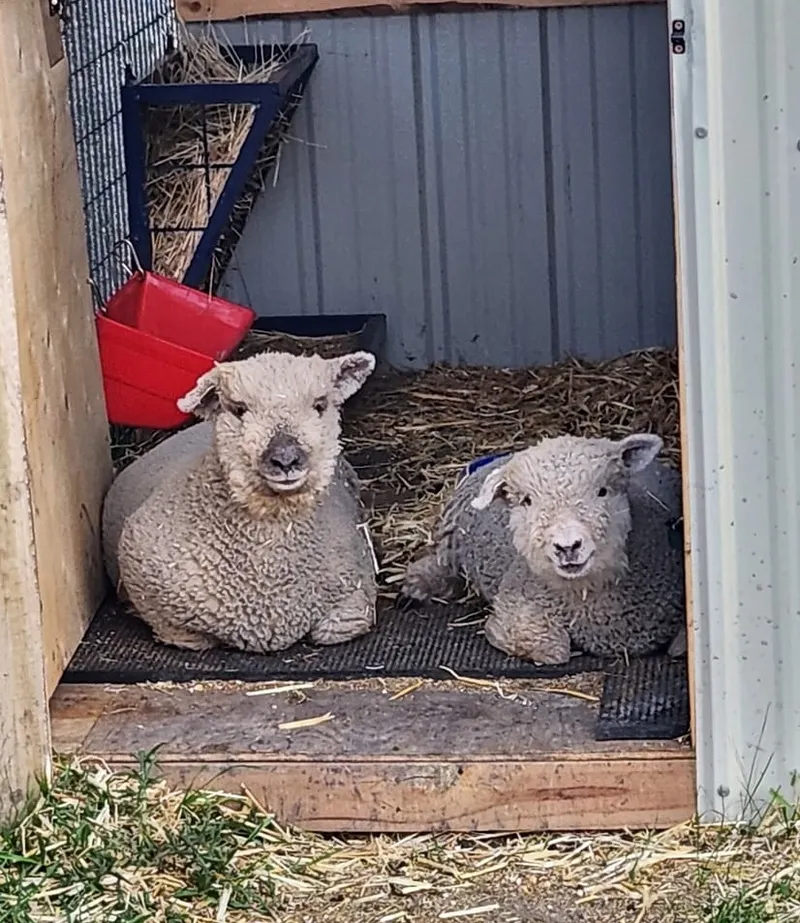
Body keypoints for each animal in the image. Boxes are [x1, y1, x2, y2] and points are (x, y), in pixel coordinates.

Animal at [102, 349, 378, 653]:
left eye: (320, 405)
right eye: (238, 409)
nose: (285, 459)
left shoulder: (355, 597)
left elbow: (332, 630)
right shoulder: (159, 601)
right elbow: (190, 636)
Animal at [401, 433, 687, 665]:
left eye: (603, 491)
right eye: (527, 501)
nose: (568, 546)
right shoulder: (518, 602)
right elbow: (551, 650)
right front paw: (496, 632)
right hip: (453, 543)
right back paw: (416, 586)